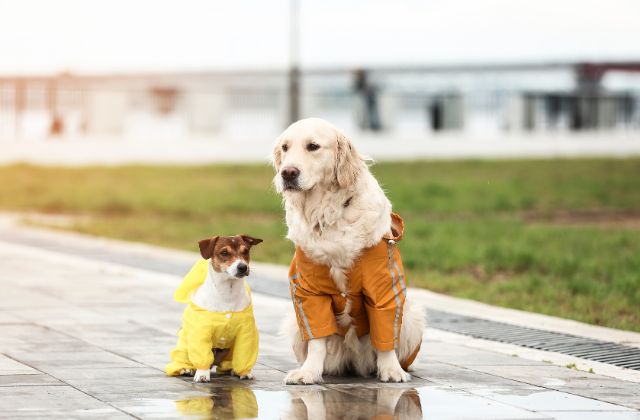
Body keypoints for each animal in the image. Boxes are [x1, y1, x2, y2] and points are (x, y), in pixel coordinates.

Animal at [168, 235, 264, 382]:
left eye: (245, 251)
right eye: (224, 253)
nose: (243, 267)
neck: (228, 293)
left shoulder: (246, 332)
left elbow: (244, 356)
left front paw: (244, 372)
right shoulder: (201, 331)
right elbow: (201, 355)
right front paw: (202, 374)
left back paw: (232, 370)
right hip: (185, 346)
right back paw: (186, 368)